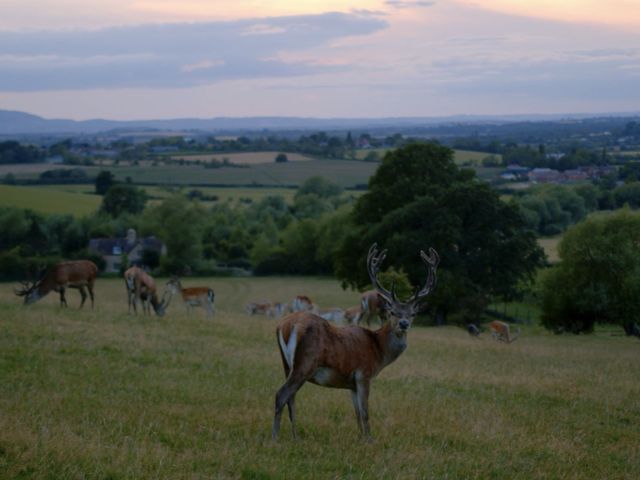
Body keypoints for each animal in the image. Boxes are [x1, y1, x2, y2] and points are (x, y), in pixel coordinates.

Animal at [270, 244, 440, 442]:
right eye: (393, 312)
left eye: (413, 313)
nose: (404, 324)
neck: (378, 350)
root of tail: (284, 325)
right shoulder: (363, 374)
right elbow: (365, 412)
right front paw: (370, 440)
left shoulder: (351, 383)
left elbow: (357, 413)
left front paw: (360, 438)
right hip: (305, 363)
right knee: (281, 395)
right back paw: (275, 438)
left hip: (286, 364)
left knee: (291, 398)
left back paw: (295, 436)